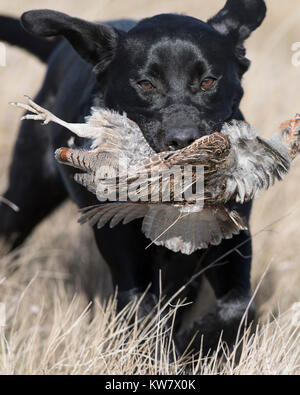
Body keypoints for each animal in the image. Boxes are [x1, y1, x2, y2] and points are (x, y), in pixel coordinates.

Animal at [0, 1, 268, 356]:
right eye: (145, 84)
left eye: (208, 81)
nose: (183, 139)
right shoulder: (126, 257)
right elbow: (143, 318)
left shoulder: (231, 239)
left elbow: (238, 305)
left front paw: (200, 341)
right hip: (27, 196)